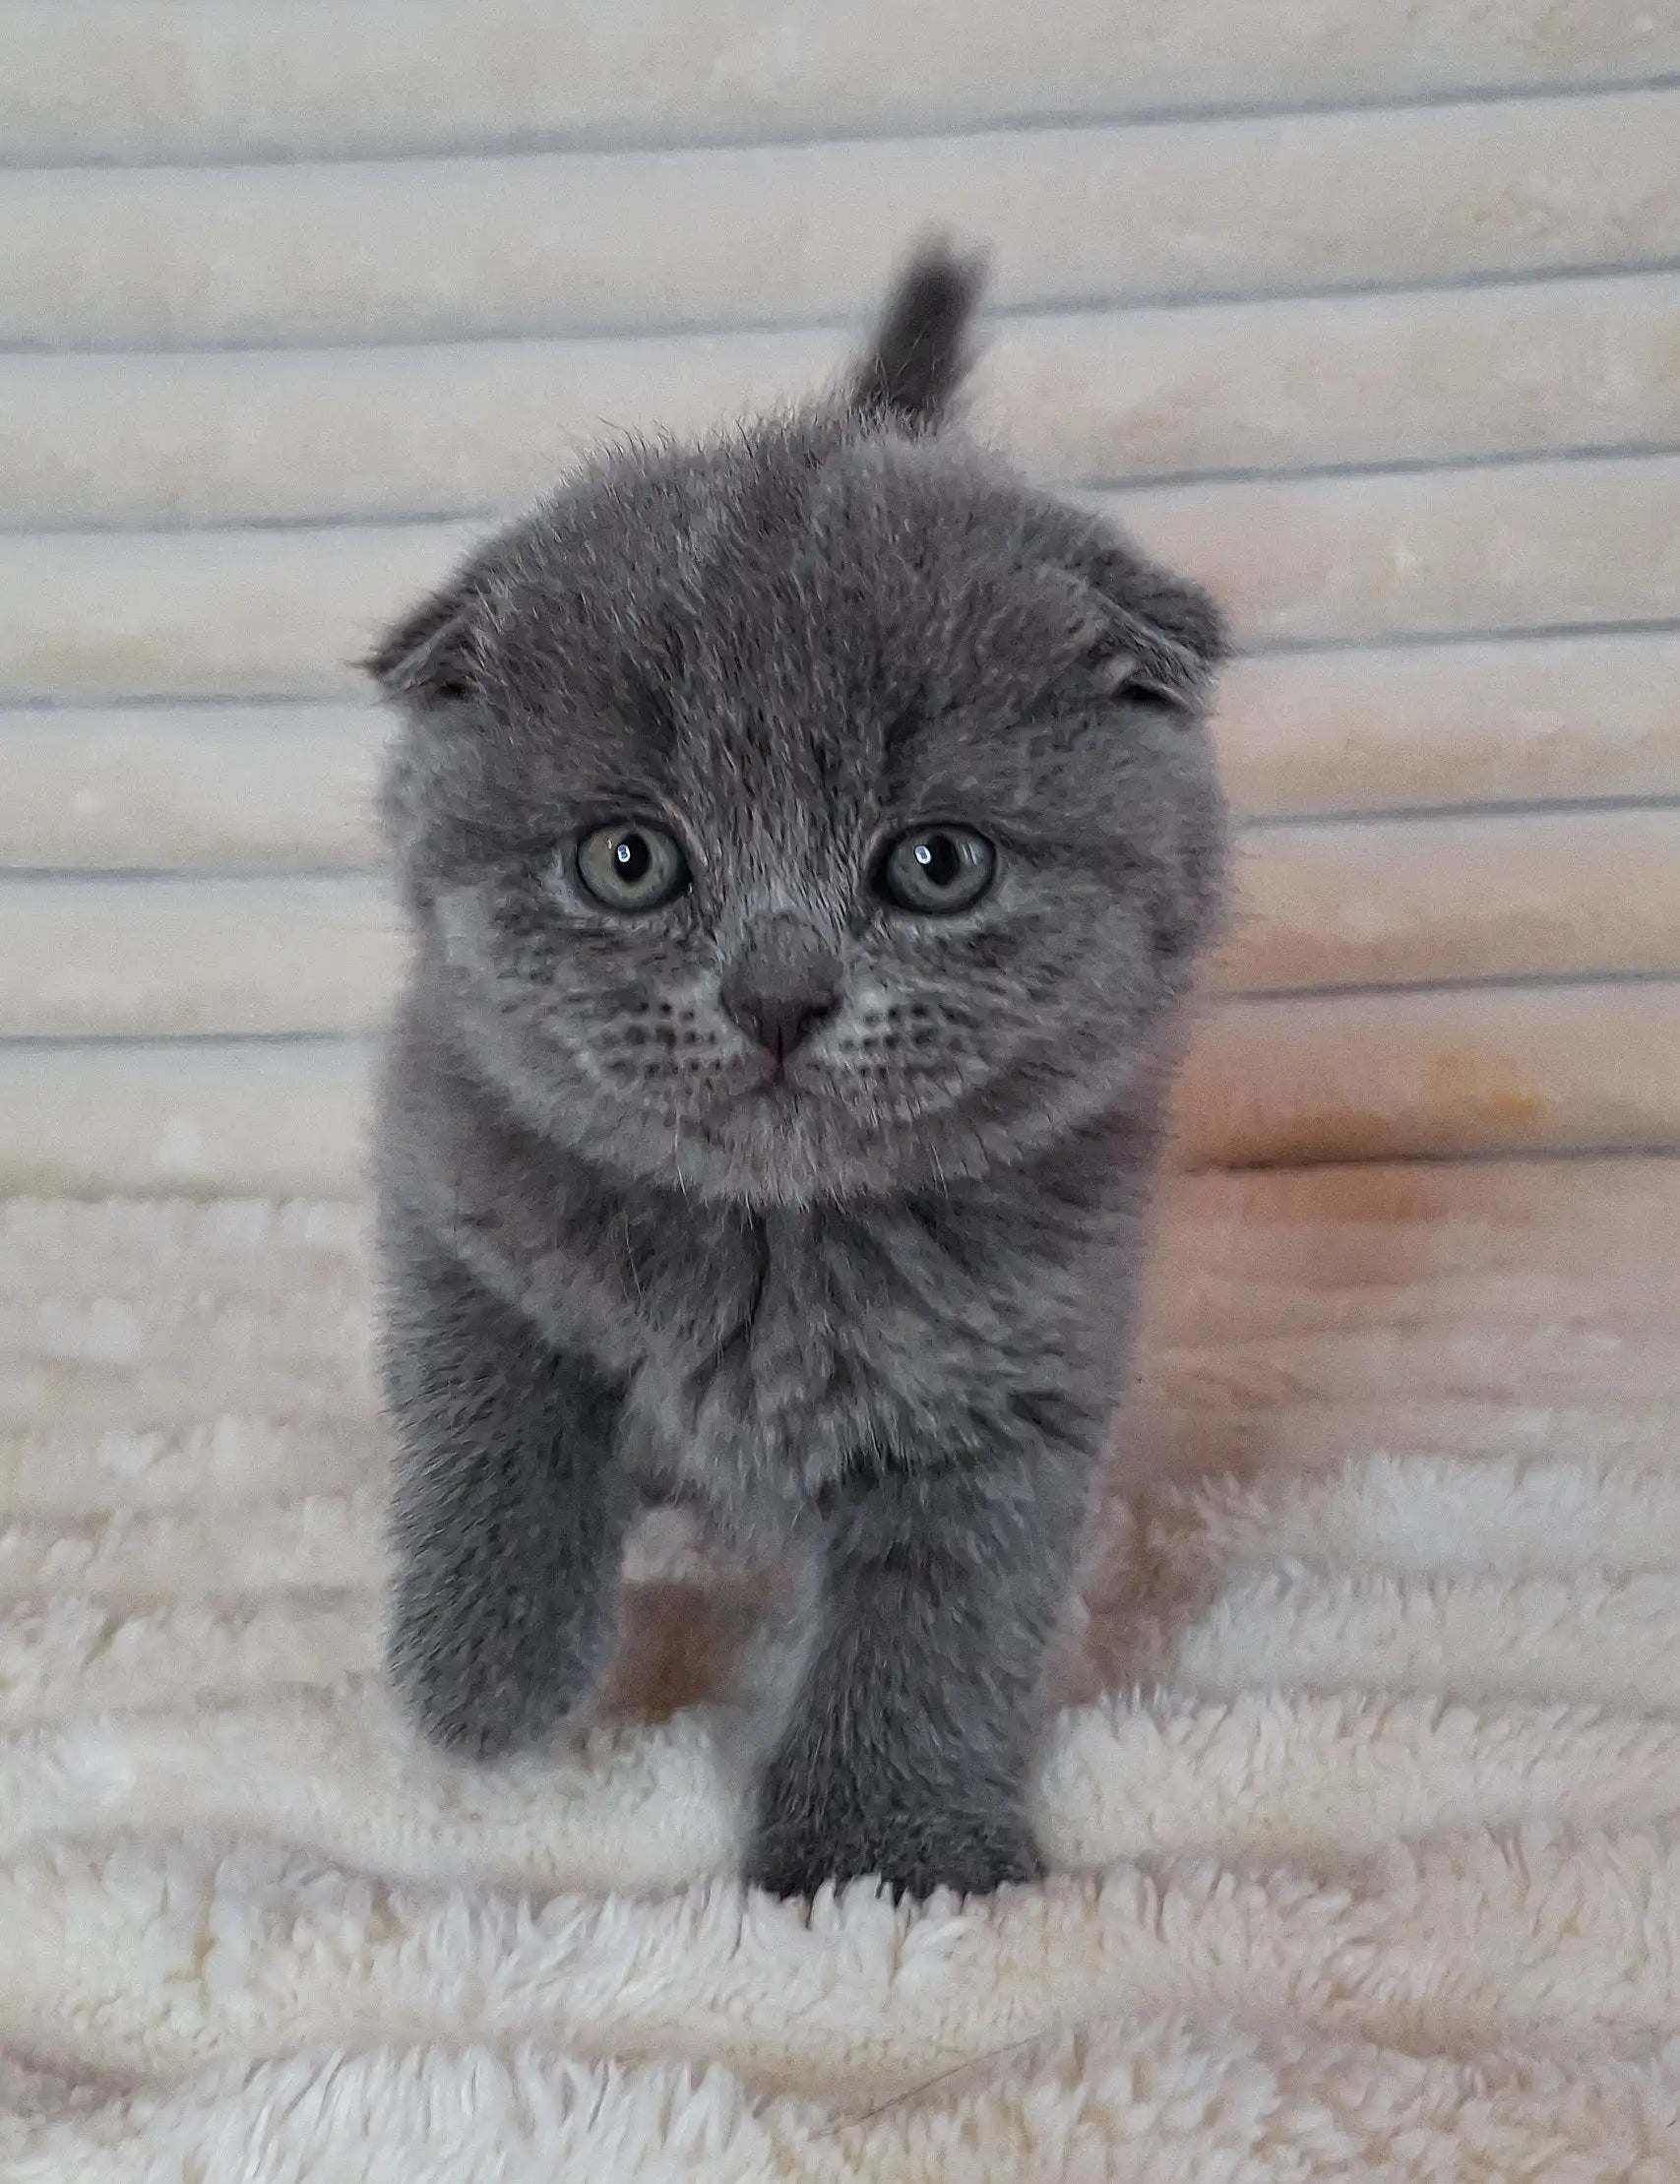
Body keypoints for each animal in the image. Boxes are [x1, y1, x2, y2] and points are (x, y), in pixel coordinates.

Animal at [371, 247, 1223, 1903]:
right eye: (628, 860)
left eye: (934, 864)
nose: (776, 991)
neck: (775, 1246)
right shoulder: (452, 1184)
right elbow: (492, 1418)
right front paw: (481, 1673)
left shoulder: (1016, 1383)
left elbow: (937, 1619)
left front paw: (882, 1851)